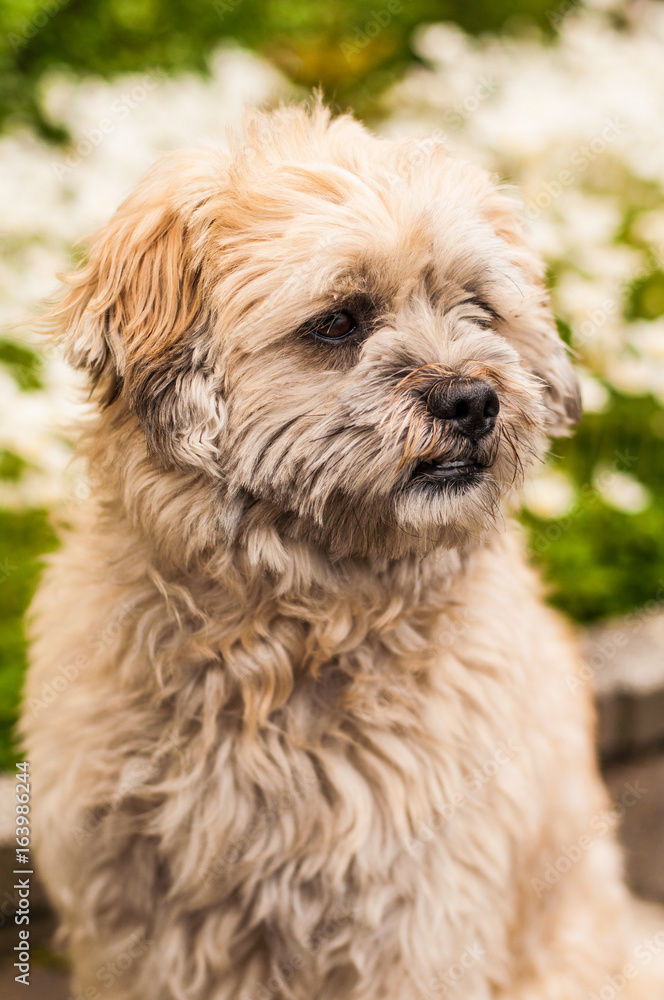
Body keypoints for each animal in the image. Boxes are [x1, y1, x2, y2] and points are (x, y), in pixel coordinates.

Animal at [20, 103, 664, 1000]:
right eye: (337, 322)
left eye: (476, 305)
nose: (473, 400)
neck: (289, 632)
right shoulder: (133, 917)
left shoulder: (418, 917)